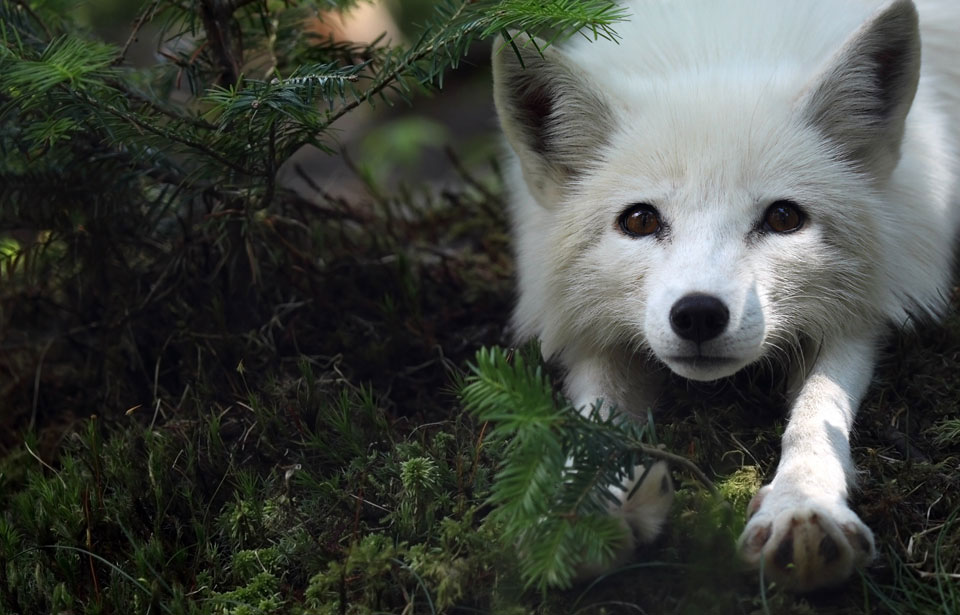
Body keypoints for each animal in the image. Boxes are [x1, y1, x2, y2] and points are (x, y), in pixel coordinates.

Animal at [496, 0, 960, 592]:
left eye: (783, 218)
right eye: (639, 220)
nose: (697, 315)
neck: (718, 52)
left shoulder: (860, 311)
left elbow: (818, 413)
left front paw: (802, 505)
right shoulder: (588, 327)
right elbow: (594, 418)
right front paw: (575, 513)